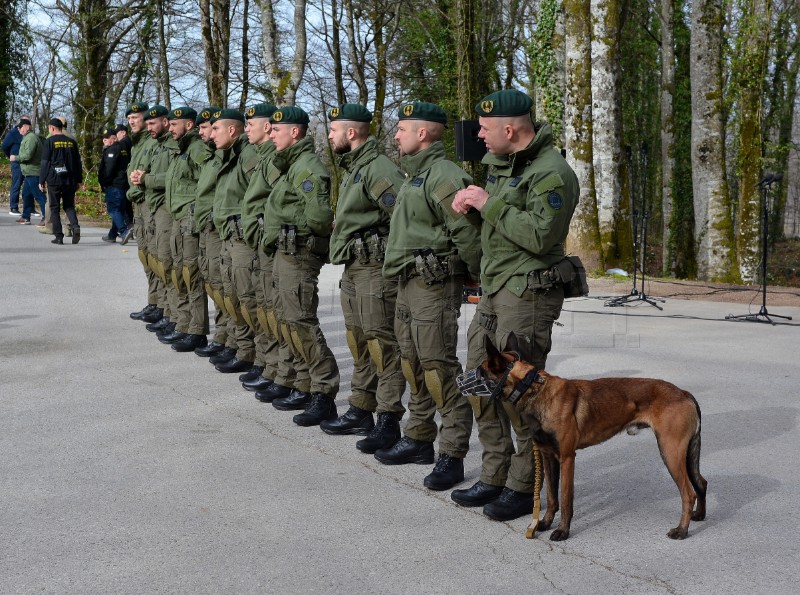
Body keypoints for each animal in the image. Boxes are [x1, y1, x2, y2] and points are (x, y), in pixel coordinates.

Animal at [476, 336, 708, 540]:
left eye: (480, 373)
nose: (467, 380)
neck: (535, 388)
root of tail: (684, 393)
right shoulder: (548, 457)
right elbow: (551, 497)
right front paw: (544, 522)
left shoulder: (567, 458)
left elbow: (565, 500)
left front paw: (562, 531)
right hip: (685, 456)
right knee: (701, 483)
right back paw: (699, 515)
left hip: (670, 452)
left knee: (689, 493)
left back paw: (682, 530)